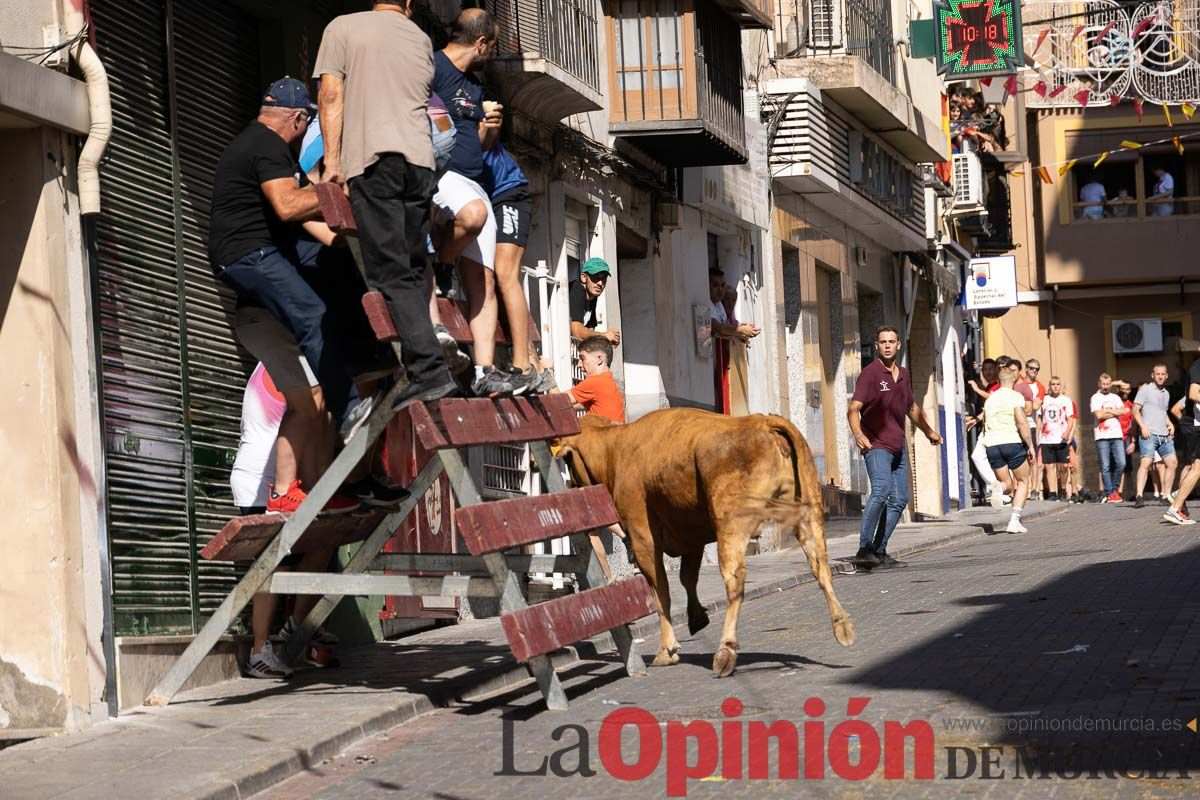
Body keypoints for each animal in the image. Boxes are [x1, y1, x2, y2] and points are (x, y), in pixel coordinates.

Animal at [559, 407, 854, 676]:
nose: (571, 487)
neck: (615, 447)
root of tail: (762, 422)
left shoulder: (643, 538)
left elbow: (661, 591)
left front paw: (667, 649)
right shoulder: (692, 537)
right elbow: (687, 578)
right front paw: (697, 616)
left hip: (731, 524)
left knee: (735, 580)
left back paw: (725, 652)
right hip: (809, 513)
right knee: (820, 566)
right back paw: (842, 625)